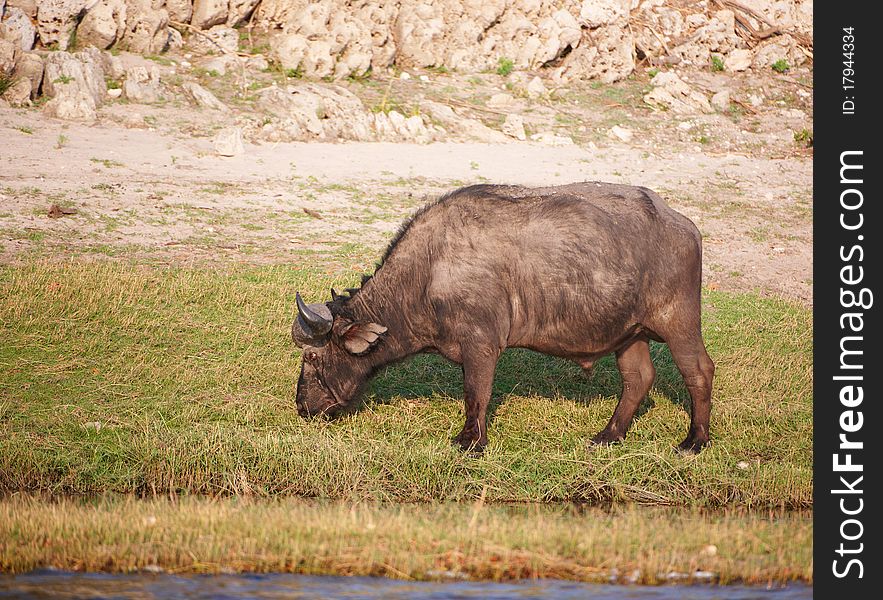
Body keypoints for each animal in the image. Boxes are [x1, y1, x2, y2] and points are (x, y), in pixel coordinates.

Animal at [294, 180, 716, 452]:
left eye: (312, 356)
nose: (301, 406)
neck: (428, 272)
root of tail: (683, 224)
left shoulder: (481, 344)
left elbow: (475, 392)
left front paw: (471, 441)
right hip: (630, 333)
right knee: (638, 379)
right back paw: (609, 435)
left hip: (678, 321)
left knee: (699, 371)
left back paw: (694, 440)